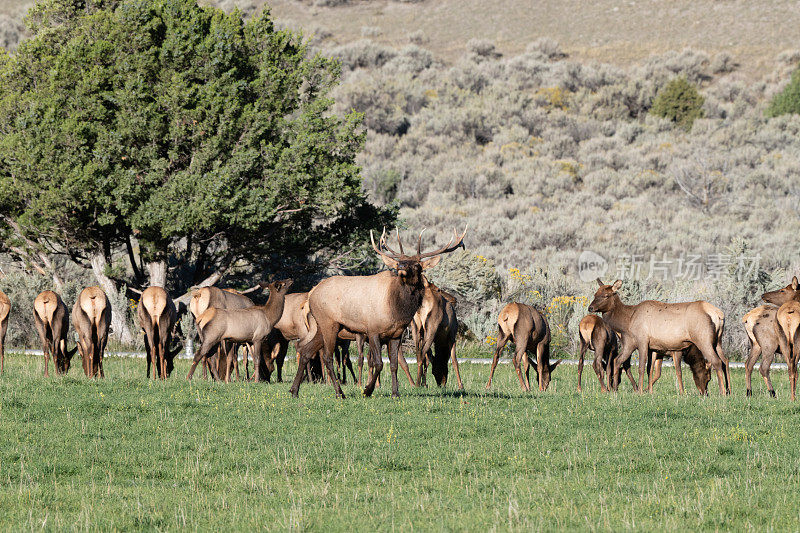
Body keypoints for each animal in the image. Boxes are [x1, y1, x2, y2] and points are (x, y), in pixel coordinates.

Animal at [290, 227, 466, 396]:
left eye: (417, 265)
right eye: (399, 261)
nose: (401, 267)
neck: (397, 310)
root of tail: (311, 294)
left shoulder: (396, 334)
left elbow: (394, 364)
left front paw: (395, 393)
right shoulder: (372, 330)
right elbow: (378, 363)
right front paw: (367, 390)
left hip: (323, 326)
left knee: (305, 351)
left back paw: (294, 390)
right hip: (328, 323)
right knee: (326, 357)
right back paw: (339, 393)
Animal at [588, 278, 732, 394]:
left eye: (606, 295)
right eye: (595, 294)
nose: (590, 308)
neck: (627, 319)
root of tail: (718, 314)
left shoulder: (642, 341)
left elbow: (641, 367)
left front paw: (640, 391)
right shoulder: (652, 347)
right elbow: (649, 369)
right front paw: (648, 392)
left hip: (703, 340)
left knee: (716, 361)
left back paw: (722, 393)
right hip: (717, 341)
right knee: (725, 360)